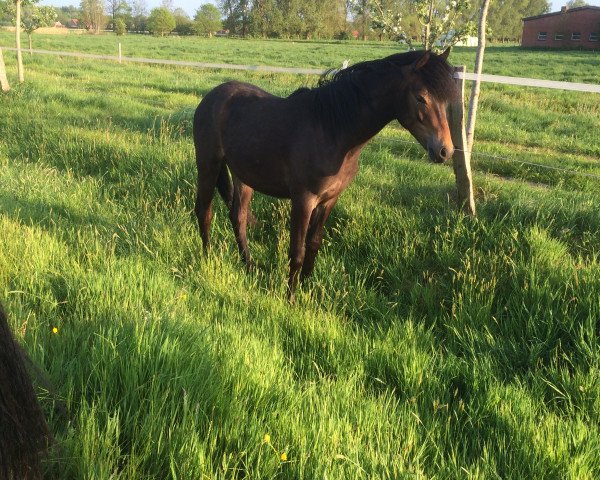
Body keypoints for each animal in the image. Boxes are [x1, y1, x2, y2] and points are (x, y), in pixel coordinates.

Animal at [195, 49, 458, 304]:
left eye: (446, 100)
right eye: (421, 97)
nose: (445, 151)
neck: (332, 131)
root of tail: (212, 96)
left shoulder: (329, 199)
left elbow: (313, 245)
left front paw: (306, 290)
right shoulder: (303, 200)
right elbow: (297, 251)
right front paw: (290, 299)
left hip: (244, 176)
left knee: (238, 218)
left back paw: (249, 266)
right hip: (208, 165)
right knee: (204, 212)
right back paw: (208, 258)